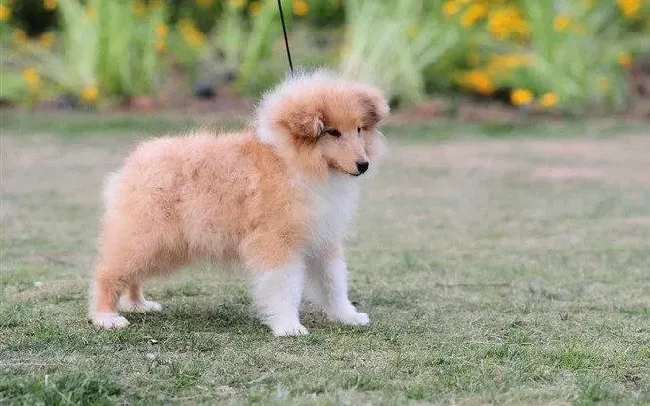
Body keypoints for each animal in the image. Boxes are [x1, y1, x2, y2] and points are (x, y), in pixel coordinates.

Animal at [88, 70, 388, 336]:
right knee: (108, 272)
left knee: (133, 274)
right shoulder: (278, 240)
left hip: (162, 246)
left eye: (359, 129)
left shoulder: (322, 239)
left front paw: (347, 316)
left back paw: (138, 304)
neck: (297, 165)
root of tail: (134, 162)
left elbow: (333, 282)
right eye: (333, 132)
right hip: (146, 235)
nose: (363, 165)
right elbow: (285, 286)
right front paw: (288, 326)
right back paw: (107, 317)